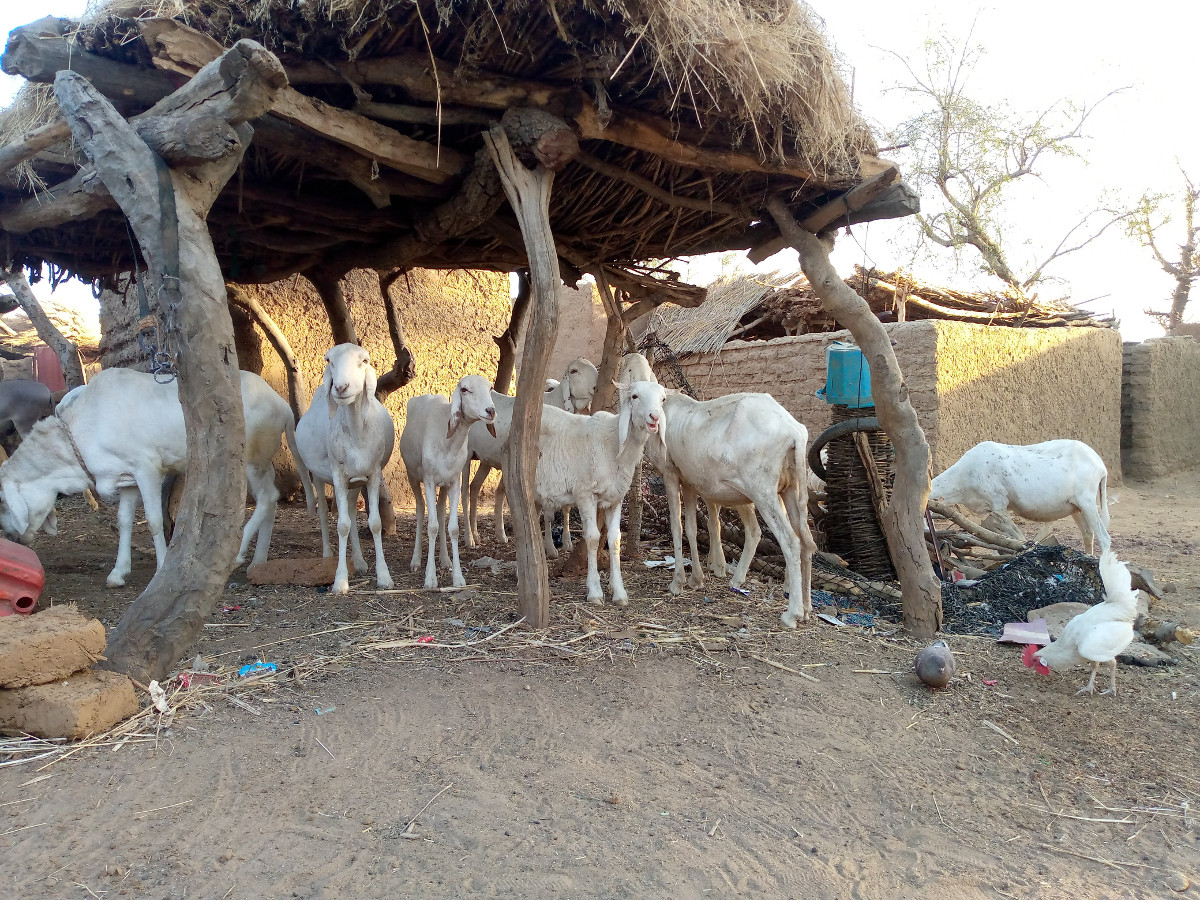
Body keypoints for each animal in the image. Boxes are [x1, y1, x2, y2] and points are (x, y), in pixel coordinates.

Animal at [0, 367, 314, 588]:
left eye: (3, 502)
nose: (12, 536)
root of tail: (281, 404)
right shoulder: (126, 479)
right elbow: (124, 521)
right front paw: (118, 573)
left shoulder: (147, 469)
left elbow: (152, 520)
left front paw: (162, 568)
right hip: (262, 462)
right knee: (271, 499)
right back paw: (258, 562)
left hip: (250, 459)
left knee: (267, 498)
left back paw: (237, 555)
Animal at [295, 340, 393, 595]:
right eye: (329, 360)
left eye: (364, 361)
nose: (340, 387)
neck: (356, 431)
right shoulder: (338, 476)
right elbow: (342, 525)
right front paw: (340, 581)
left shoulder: (372, 474)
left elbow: (374, 523)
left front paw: (384, 576)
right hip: (319, 476)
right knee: (322, 511)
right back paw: (327, 556)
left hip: (355, 483)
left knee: (349, 509)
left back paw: (358, 562)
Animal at [403, 374, 496, 592]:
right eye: (464, 389)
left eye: (490, 388)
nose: (491, 411)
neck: (447, 442)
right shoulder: (429, 480)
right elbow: (432, 527)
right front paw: (430, 579)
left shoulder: (453, 482)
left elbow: (452, 527)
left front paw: (458, 578)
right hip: (413, 476)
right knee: (420, 510)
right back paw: (416, 561)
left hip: (443, 484)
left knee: (439, 511)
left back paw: (445, 560)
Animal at [540, 381, 672, 607]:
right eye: (635, 396)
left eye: (663, 399)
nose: (654, 417)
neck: (612, 443)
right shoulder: (584, 493)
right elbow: (593, 537)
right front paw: (594, 591)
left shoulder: (615, 498)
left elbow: (614, 538)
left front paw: (618, 591)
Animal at [926, 439, 1113, 554]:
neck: (964, 476)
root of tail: (1101, 467)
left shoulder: (999, 504)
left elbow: (1011, 537)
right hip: (1076, 508)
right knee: (1088, 534)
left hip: (1087, 502)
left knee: (1104, 538)